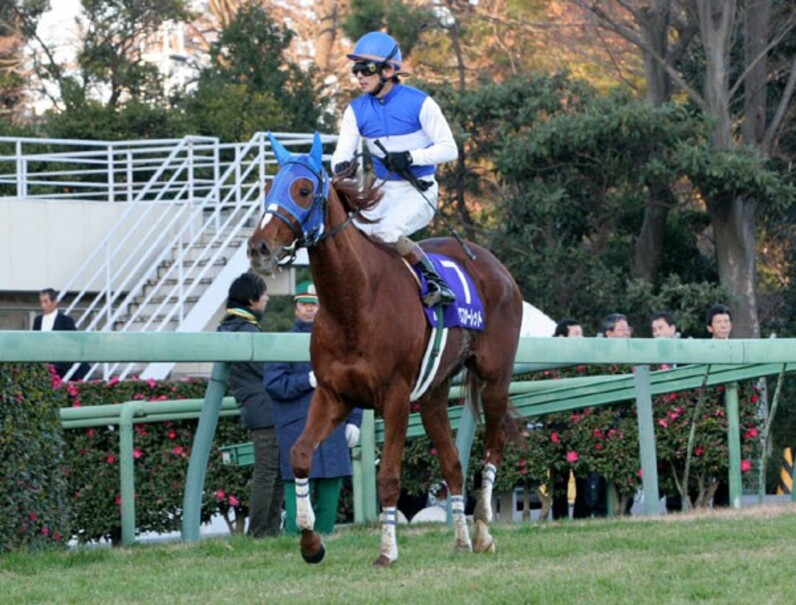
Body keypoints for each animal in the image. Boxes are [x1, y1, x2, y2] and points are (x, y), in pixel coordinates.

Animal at [247, 133, 522, 567]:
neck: (354, 302)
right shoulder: (334, 395)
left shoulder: (393, 397)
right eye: (268, 188)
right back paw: (462, 540)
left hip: (494, 379)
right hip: (432, 394)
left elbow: (389, 477)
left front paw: (387, 550)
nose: (259, 248)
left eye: (303, 190)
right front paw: (311, 543)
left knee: (492, 448)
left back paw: (481, 529)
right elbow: (300, 455)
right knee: (453, 464)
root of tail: (495, 266)